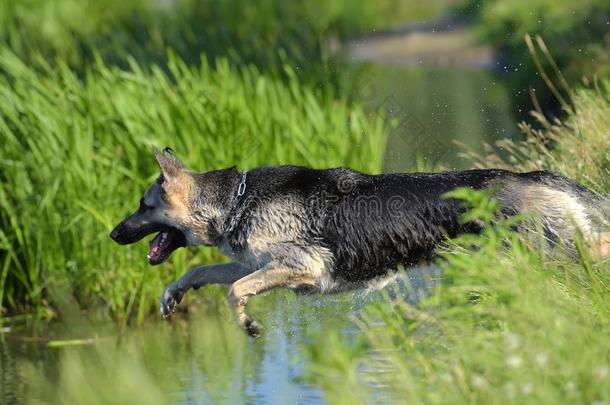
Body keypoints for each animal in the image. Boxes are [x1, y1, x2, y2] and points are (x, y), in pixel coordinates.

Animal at [109, 147, 608, 336]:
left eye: (142, 205)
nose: (113, 234)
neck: (235, 199)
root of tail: (530, 176)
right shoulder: (258, 261)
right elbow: (205, 270)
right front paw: (173, 294)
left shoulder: (299, 266)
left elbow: (234, 289)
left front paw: (247, 324)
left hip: (555, 247)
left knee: (598, 246)